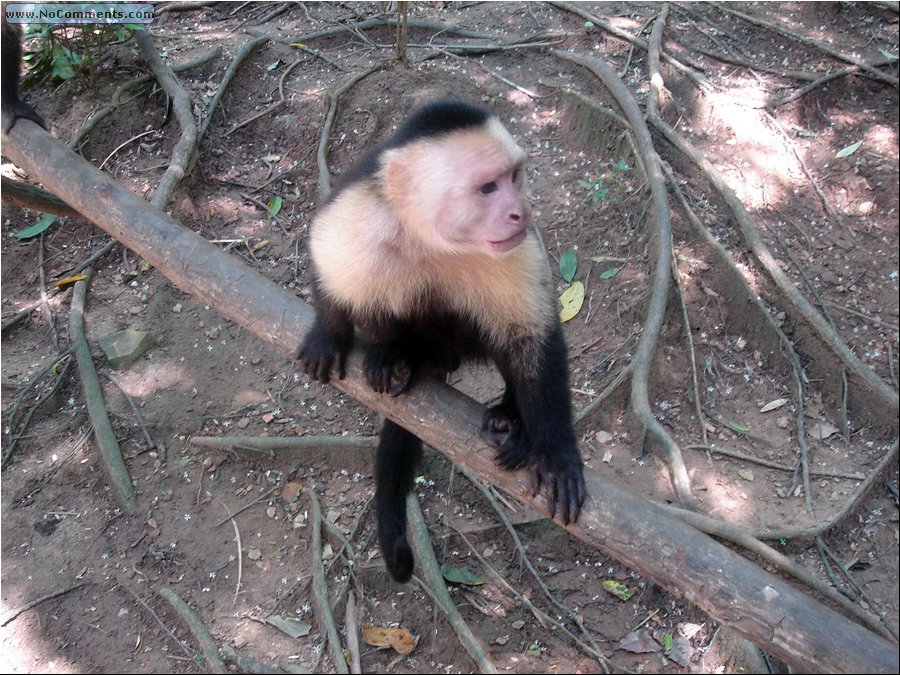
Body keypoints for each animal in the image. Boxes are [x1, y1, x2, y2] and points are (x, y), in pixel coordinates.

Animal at [298, 99, 588, 580]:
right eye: (487, 188)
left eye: (514, 177)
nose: (521, 211)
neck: (429, 238)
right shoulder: (361, 210)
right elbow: (327, 258)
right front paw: (328, 334)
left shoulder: (513, 246)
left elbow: (531, 338)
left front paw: (555, 451)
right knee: (377, 299)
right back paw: (393, 356)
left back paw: (510, 420)